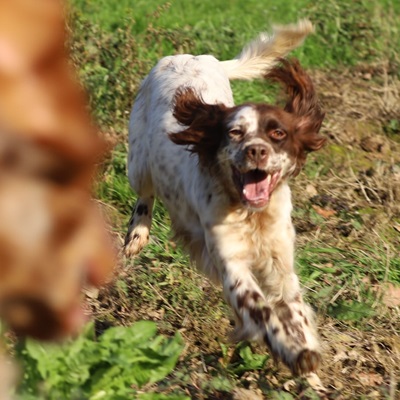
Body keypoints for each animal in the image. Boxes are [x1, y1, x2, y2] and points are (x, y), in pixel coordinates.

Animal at [125, 20, 326, 375]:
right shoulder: (231, 264)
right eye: (235, 132)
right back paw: (136, 236)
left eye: (278, 133)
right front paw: (287, 347)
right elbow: (261, 309)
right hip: (137, 163)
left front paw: (302, 350)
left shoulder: (280, 262)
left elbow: (292, 308)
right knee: (144, 195)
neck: (251, 214)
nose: (256, 151)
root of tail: (193, 56)